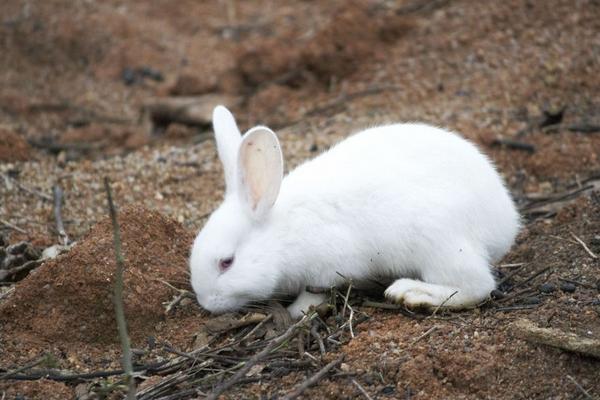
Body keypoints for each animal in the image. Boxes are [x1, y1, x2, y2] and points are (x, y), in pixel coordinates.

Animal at [192, 104, 520, 318]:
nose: (206, 302)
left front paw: (297, 310)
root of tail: (506, 222)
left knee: (476, 287)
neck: (281, 233)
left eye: (227, 262)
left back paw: (412, 293)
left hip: (441, 244)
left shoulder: (327, 267)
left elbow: (316, 292)